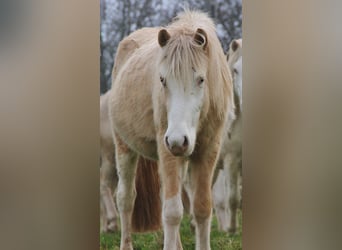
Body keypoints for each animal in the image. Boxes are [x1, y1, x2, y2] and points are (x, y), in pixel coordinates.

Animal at [108, 10, 234, 250]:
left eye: (201, 79)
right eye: (162, 80)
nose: (177, 140)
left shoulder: (208, 151)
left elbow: (202, 208)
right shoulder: (167, 149)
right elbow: (173, 212)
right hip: (125, 148)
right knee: (126, 198)